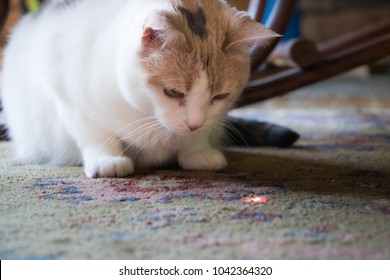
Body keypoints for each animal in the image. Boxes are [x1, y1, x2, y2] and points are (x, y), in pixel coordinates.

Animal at [1, 0, 298, 178]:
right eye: (174, 92)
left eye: (220, 96)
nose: (194, 123)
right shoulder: (64, 93)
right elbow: (95, 132)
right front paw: (108, 159)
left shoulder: (213, 117)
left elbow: (201, 135)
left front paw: (198, 151)